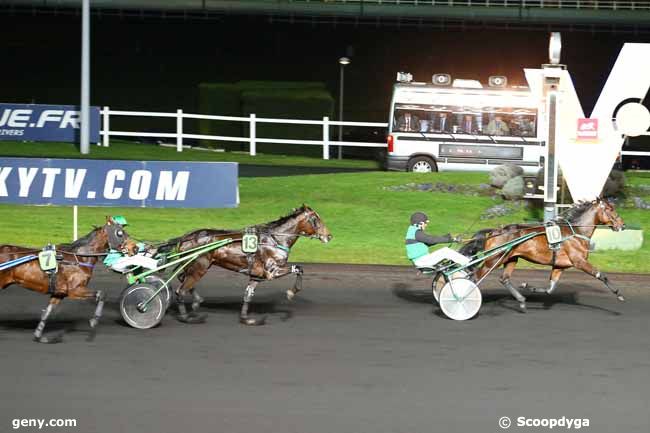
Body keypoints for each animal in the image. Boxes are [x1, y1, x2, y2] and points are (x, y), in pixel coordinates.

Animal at [0, 218, 130, 342]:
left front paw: (40, 336)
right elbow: (102, 294)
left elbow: (46, 313)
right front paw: (94, 320)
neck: (79, 258)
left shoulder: (59, 293)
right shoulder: (75, 290)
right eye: (119, 233)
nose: (134, 247)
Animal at [156, 205, 330, 324]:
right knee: (181, 290)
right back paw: (187, 317)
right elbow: (299, 268)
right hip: (200, 267)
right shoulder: (272, 271)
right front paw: (291, 293)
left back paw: (197, 301)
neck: (275, 239)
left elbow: (248, 295)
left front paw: (247, 318)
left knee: (182, 279)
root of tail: (186, 237)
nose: (329, 236)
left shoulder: (257, 276)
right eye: (316, 219)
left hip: (193, 266)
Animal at [458, 197, 624, 312]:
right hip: (493, 260)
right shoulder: (580, 261)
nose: (622, 225)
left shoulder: (559, 266)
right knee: (475, 277)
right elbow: (601, 275)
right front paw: (619, 294)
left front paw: (529, 287)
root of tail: (494, 231)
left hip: (511, 258)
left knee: (503, 279)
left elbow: (550, 289)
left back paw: (521, 300)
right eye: (610, 209)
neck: (576, 232)